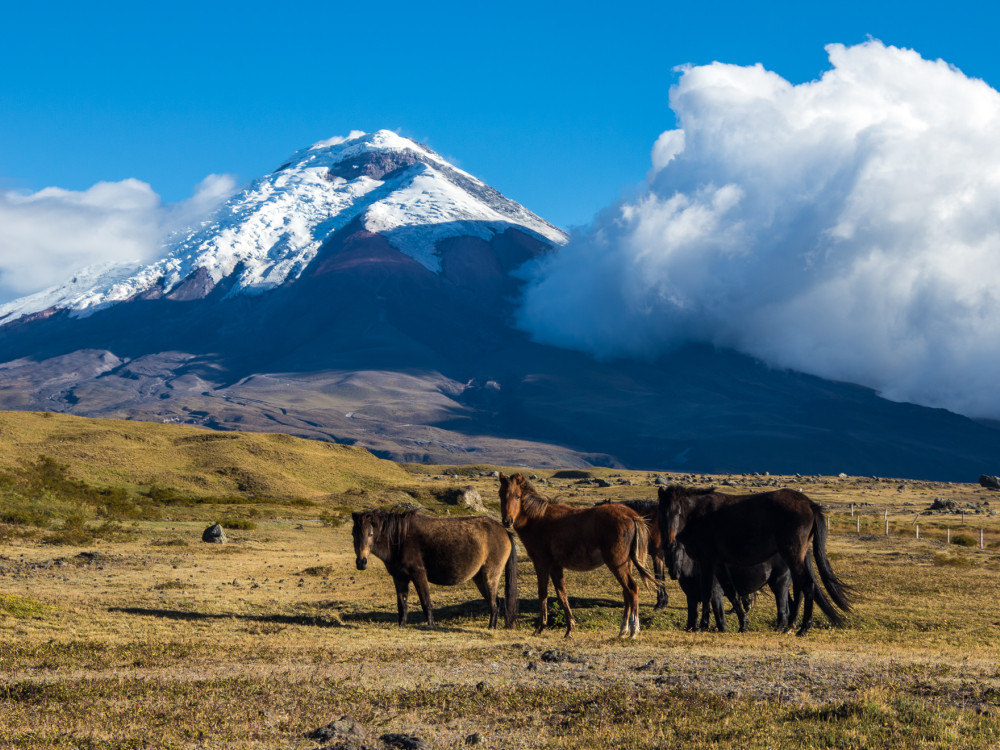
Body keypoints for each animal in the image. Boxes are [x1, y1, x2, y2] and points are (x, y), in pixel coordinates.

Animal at [351, 509, 518, 629]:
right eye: (353, 534)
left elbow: (426, 603)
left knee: (495, 603)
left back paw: (491, 627)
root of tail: (504, 531)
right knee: (494, 602)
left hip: (490, 576)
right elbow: (402, 605)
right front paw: (401, 626)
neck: (399, 540)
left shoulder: (419, 574)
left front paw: (431, 626)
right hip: (479, 578)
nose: (361, 562)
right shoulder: (399, 578)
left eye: (370, 533)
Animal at [499, 472, 660, 638]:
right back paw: (623, 630)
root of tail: (632, 516)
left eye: (517, 496)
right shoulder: (556, 566)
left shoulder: (541, 563)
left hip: (616, 563)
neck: (537, 519)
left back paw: (633, 631)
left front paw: (540, 628)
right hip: (625, 564)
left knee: (632, 589)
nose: (507, 521)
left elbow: (542, 592)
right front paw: (569, 629)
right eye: (501, 495)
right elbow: (562, 594)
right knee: (626, 592)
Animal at [657, 485, 852, 636]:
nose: (669, 542)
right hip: (795, 558)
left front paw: (703, 626)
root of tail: (810, 504)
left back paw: (802, 628)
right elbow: (732, 592)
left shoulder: (707, 560)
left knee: (807, 586)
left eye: (678, 512)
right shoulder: (719, 563)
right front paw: (743, 624)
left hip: (793, 555)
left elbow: (706, 591)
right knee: (799, 589)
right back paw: (789, 626)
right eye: (662, 513)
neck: (699, 516)